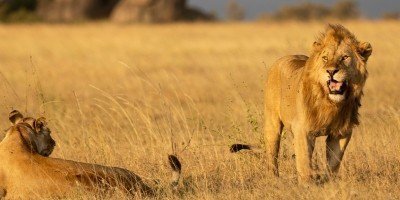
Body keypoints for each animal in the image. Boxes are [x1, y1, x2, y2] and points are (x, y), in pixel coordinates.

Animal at [231, 24, 372, 183]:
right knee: (272, 155)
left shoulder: (341, 132)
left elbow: (334, 162)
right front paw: (307, 185)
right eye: (325, 58)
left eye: (345, 57)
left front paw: (329, 181)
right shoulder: (302, 130)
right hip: (272, 124)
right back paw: (273, 179)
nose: (331, 71)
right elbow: (304, 162)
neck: (330, 104)